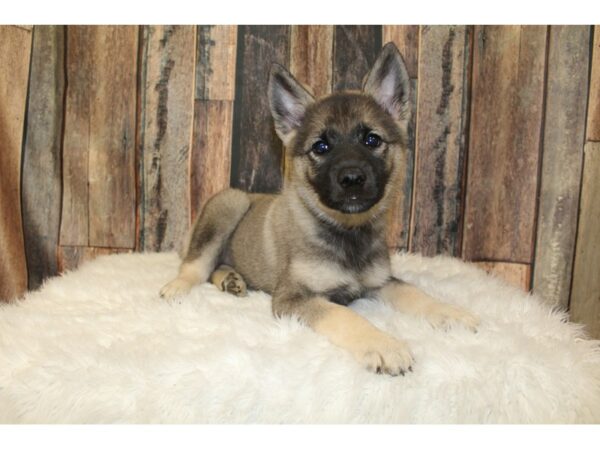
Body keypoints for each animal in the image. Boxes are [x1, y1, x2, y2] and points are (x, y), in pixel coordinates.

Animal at [159, 42, 478, 374]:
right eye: (321, 147)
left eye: (372, 139)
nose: (352, 179)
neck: (347, 231)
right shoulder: (294, 298)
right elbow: (346, 316)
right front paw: (383, 345)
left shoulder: (380, 283)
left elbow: (414, 292)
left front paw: (450, 313)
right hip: (229, 203)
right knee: (196, 265)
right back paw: (179, 287)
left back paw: (231, 279)